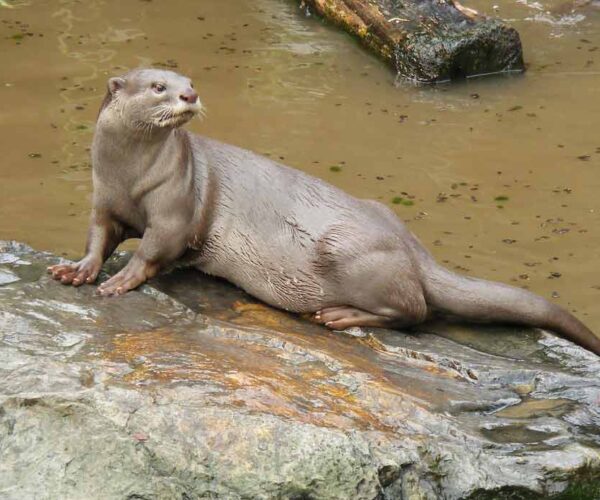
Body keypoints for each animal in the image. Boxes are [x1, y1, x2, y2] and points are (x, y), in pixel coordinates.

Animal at [48, 68, 600, 356]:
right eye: (157, 86)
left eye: (186, 79)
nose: (190, 93)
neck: (129, 175)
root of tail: (413, 248)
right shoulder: (104, 200)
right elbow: (98, 238)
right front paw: (77, 269)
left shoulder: (175, 205)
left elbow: (156, 248)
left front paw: (122, 280)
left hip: (346, 249)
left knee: (414, 310)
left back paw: (337, 315)